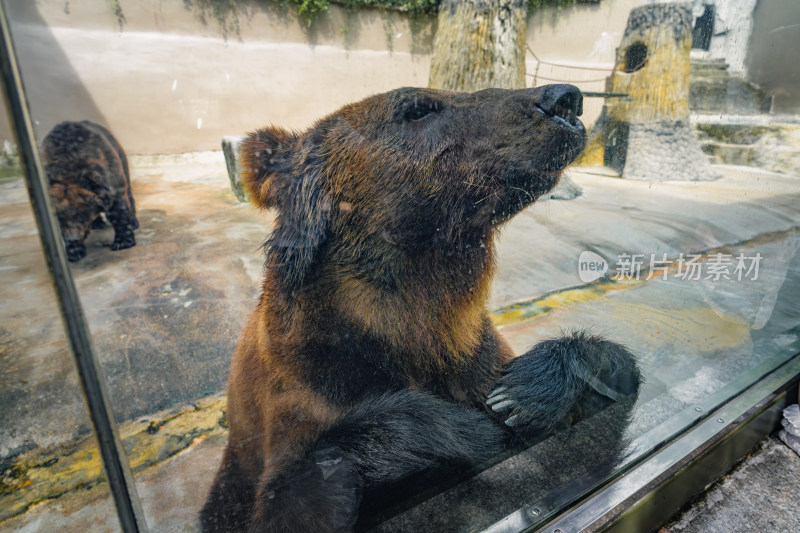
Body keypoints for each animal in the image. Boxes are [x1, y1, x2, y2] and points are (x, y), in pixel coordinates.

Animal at [41, 120, 137, 262]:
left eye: (80, 214)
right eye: (59, 216)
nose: (72, 238)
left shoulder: (109, 174)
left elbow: (118, 206)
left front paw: (123, 242)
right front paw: (74, 252)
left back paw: (134, 222)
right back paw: (97, 223)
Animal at [202, 85, 644, 528]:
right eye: (417, 109)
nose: (564, 99)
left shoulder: (475, 350)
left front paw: (524, 391)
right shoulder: (312, 384)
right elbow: (299, 495)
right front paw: (465, 430)